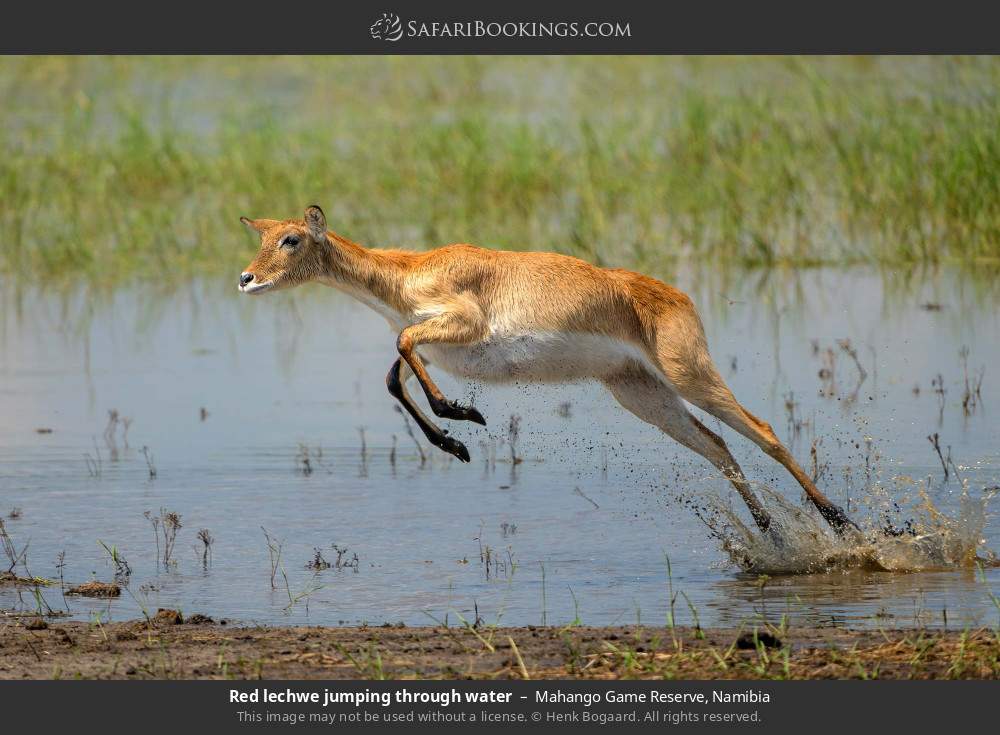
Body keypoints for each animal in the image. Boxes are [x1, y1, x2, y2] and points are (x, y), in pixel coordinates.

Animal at [238, 204, 856, 536]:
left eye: (290, 238)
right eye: (263, 235)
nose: (246, 278)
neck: (406, 272)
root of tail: (678, 296)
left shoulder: (458, 325)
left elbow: (403, 345)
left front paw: (464, 414)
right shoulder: (435, 350)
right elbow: (394, 375)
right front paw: (454, 444)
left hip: (689, 376)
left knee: (764, 430)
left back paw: (839, 521)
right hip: (642, 395)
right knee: (717, 444)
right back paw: (771, 532)